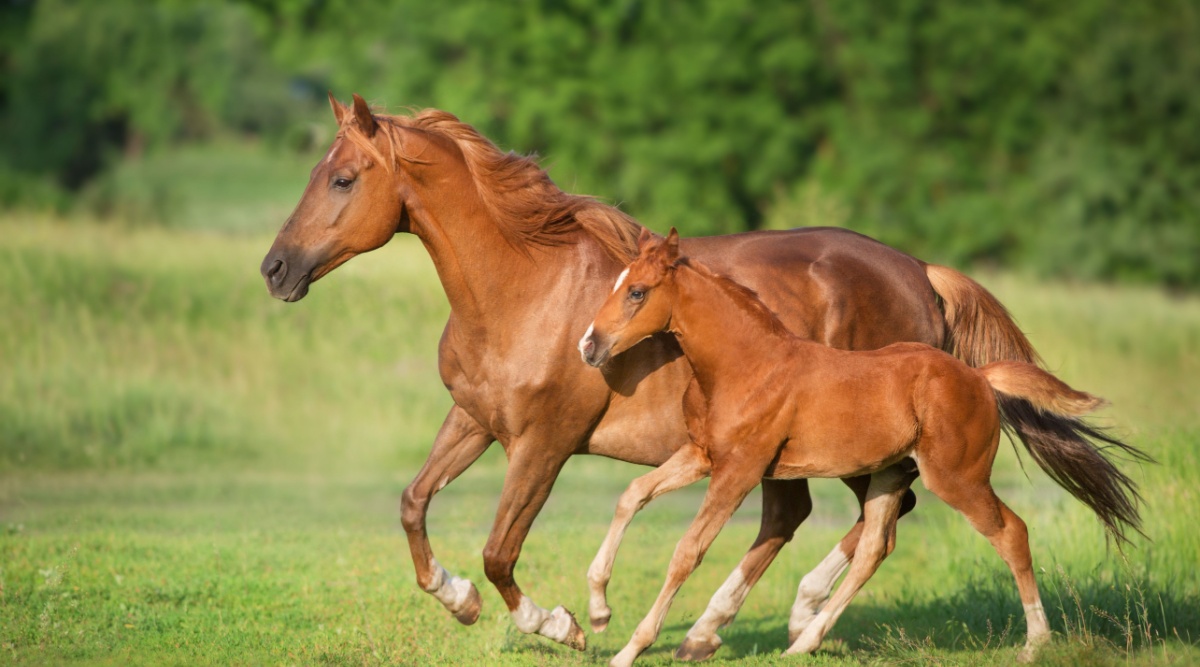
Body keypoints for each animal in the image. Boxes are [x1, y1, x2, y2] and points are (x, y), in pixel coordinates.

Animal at [580, 228, 1147, 666]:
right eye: (618, 285)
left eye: (637, 292)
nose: (589, 345)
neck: (747, 364)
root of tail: (979, 378)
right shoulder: (701, 454)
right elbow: (633, 493)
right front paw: (599, 609)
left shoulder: (739, 470)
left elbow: (686, 552)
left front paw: (630, 648)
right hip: (889, 475)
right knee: (876, 548)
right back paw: (804, 640)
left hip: (957, 477)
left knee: (1012, 532)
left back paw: (1036, 642)